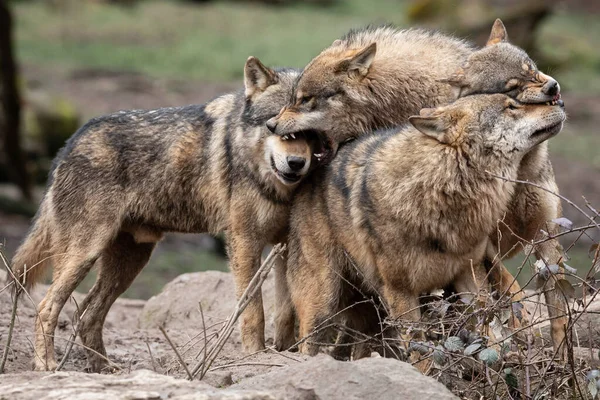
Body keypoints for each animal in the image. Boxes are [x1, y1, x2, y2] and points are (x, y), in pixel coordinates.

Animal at [8, 56, 328, 372]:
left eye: (310, 133)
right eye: (274, 126)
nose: (296, 163)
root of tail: (69, 143)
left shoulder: (284, 244)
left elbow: (286, 310)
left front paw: (286, 354)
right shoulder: (244, 241)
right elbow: (254, 310)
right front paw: (255, 355)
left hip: (130, 261)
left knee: (87, 314)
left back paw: (105, 369)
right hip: (85, 255)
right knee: (47, 307)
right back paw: (47, 365)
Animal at [270, 19, 568, 356]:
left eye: (533, 69)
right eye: (512, 89)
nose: (554, 88)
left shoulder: (544, 235)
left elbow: (555, 311)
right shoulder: (481, 249)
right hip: (327, 290)